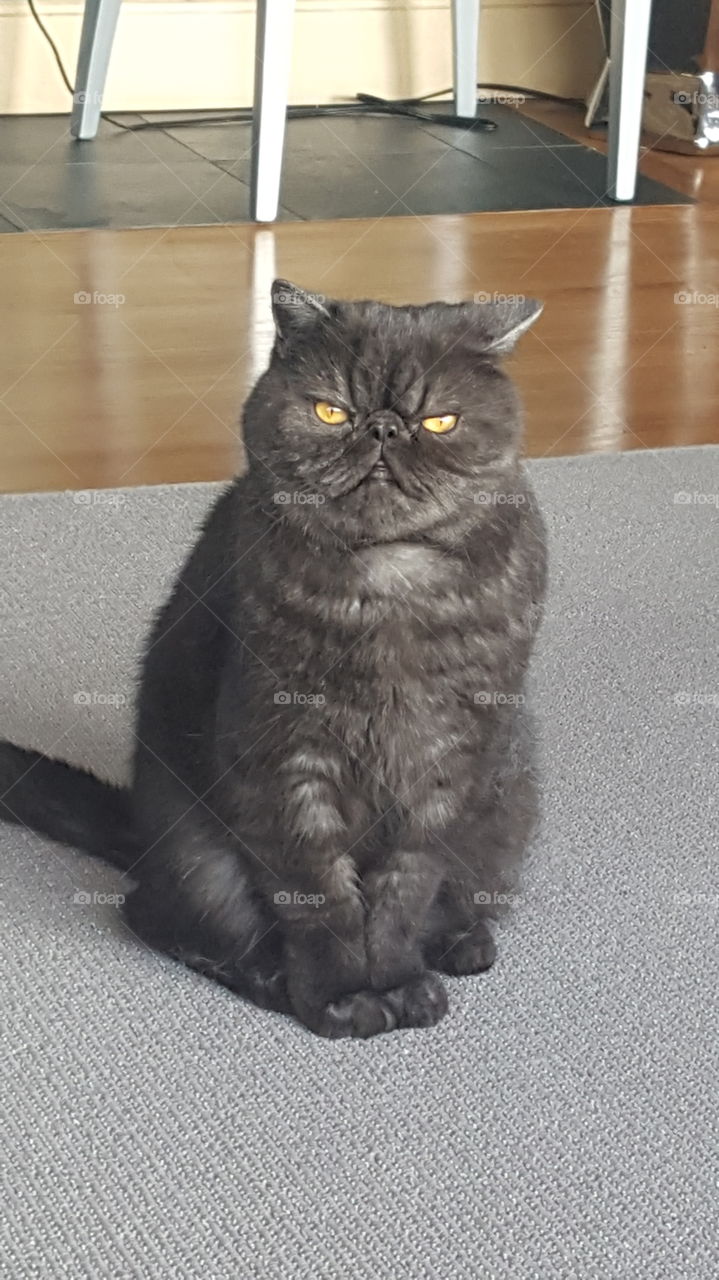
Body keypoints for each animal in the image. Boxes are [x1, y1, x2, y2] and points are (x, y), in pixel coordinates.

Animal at [0, 282, 545, 1039]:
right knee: (156, 916)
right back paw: (266, 976)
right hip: (201, 859)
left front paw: (398, 981)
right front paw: (344, 999)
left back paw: (462, 942)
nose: (383, 428)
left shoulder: (448, 762)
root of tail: (139, 826)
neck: (390, 587)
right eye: (330, 411)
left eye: (439, 421)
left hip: (508, 809)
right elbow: (319, 893)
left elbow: (404, 889)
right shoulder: (286, 753)